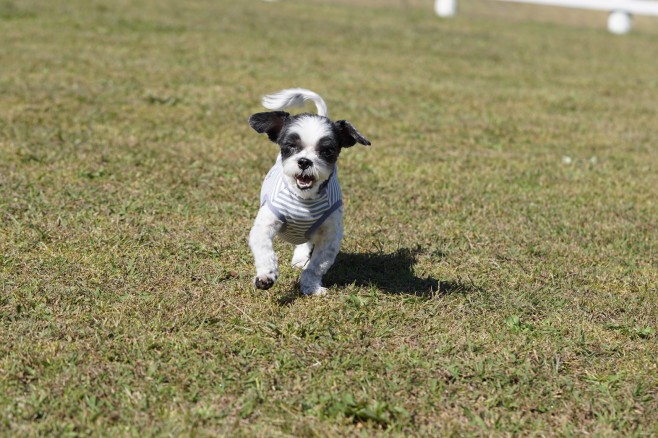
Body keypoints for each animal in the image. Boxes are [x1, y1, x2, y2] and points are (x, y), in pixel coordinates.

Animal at [247, 87, 368, 296]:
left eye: (327, 151)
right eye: (290, 146)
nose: (304, 161)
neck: (304, 199)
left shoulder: (329, 238)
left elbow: (317, 265)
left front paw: (310, 286)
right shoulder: (265, 226)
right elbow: (265, 250)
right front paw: (266, 276)